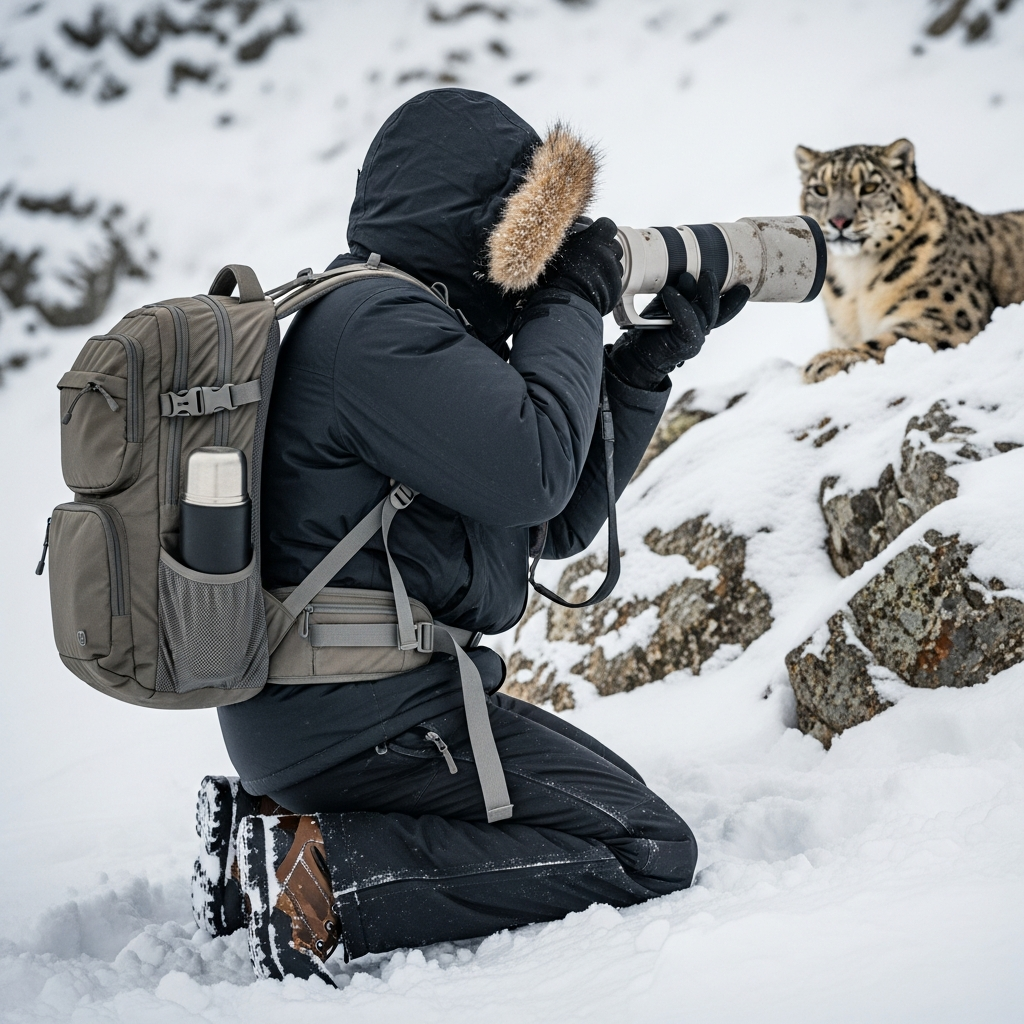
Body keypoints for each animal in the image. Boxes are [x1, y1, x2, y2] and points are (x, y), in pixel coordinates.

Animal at [795, 138, 1024, 383]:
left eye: (869, 187)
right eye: (820, 190)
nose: (838, 220)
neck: (856, 278)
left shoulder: (946, 317)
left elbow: (892, 340)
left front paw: (828, 361)